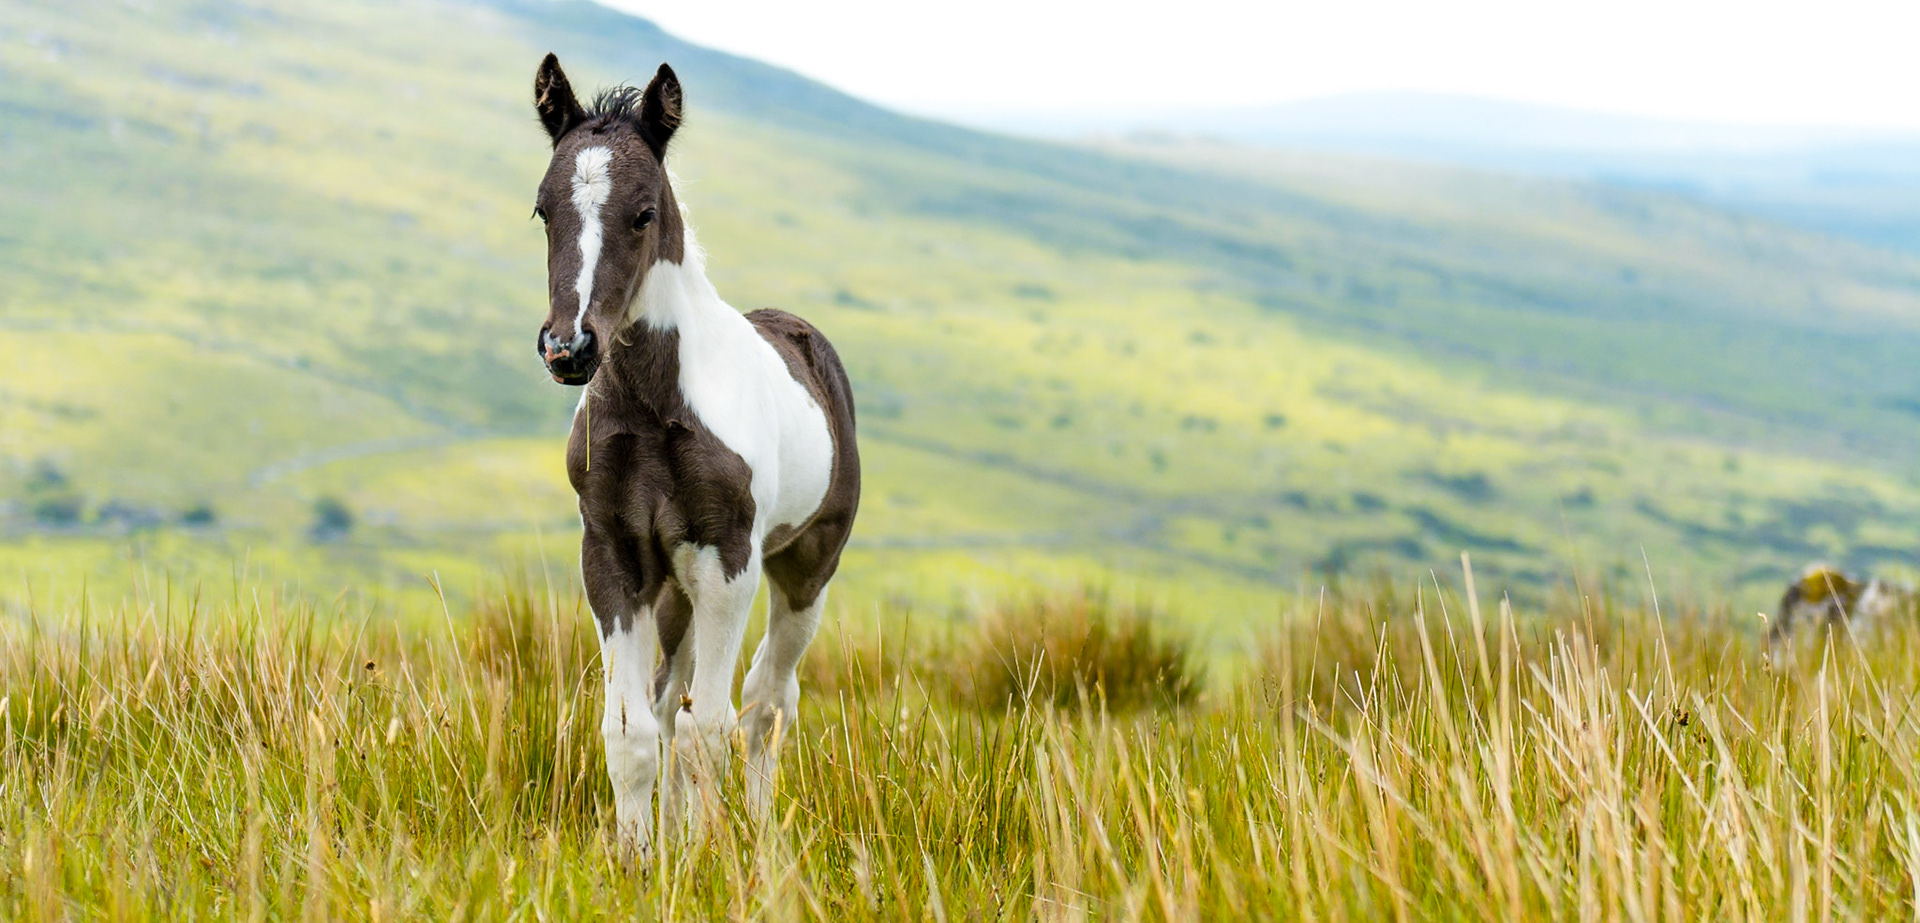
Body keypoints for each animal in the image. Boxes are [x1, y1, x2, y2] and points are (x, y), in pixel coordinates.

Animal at [528, 54, 860, 849]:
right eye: (544, 210)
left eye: (644, 213)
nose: (568, 348)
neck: (655, 411)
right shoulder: (614, 554)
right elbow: (634, 729)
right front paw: (637, 857)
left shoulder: (728, 559)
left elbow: (711, 725)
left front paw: (708, 856)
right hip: (674, 589)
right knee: (671, 700)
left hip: (805, 569)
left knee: (766, 702)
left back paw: (757, 830)